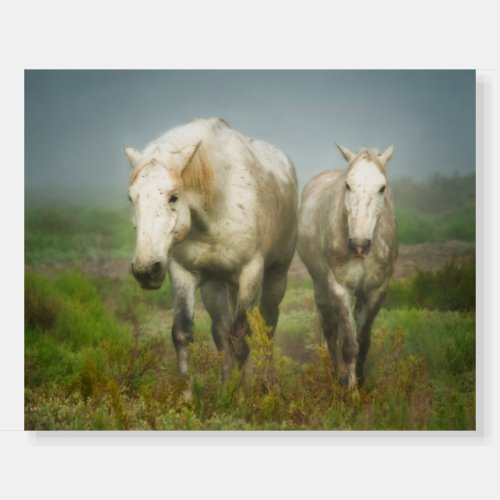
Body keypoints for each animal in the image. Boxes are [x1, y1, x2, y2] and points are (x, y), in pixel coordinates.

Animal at [126, 118, 296, 386]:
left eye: (173, 197)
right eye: (131, 198)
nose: (146, 270)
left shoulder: (250, 273)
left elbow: (242, 338)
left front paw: (242, 393)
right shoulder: (183, 273)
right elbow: (183, 334)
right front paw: (194, 395)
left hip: (277, 274)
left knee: (267, 326)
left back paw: (269, 384)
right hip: (214, 286)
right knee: (223, 331)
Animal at [296, 144, 398, 386]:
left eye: (382, 188)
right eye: (348, 185)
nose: (359, 245)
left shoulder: (377, 290)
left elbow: (363, 342)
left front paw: (360, 381)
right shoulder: (339, 288)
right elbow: (350, 346)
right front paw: (350, 388)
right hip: (321, 287)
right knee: (331, 332)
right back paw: (334, 376)